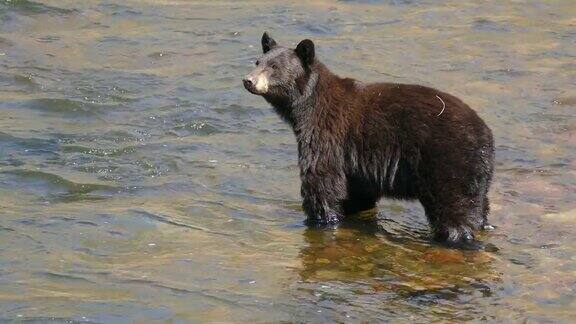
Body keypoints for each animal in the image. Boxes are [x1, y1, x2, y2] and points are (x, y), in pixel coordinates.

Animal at [243, 33, 496, 248]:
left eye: (274, 67)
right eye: (257, 62)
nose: (248, 80)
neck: (308, 106)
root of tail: (485, 133)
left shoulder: (328, 134)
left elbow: (321, 178)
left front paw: (320, 219)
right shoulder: (356, 160)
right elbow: (357, 191)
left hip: (447, 160)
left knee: (453, 207)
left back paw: (454, 238)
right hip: (476, 175)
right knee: (478, 206)